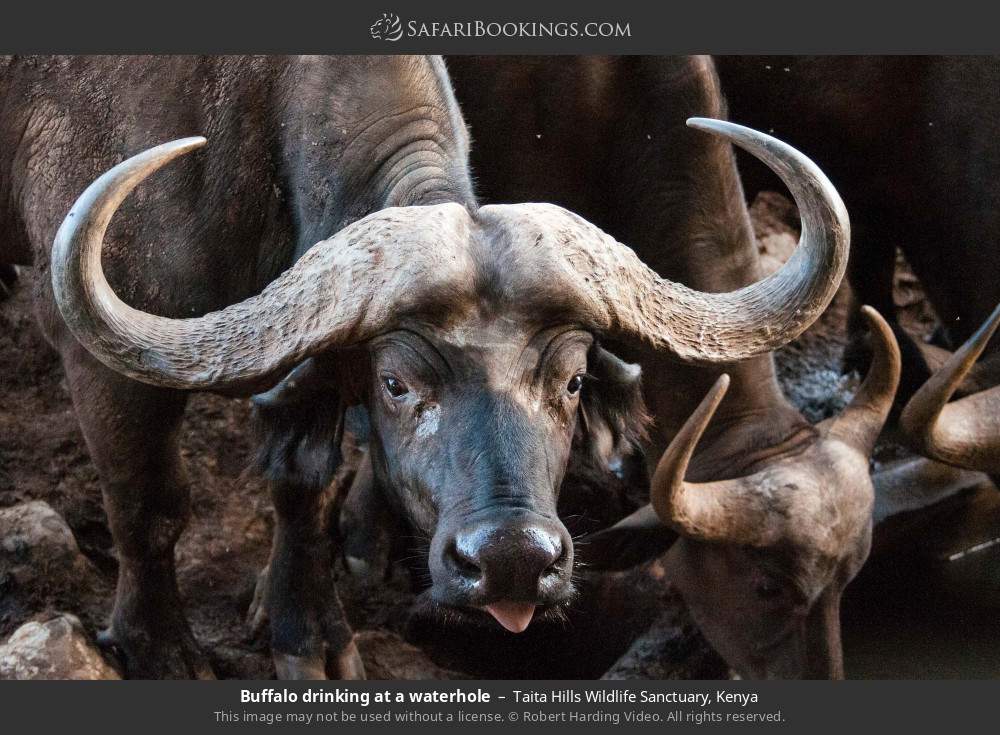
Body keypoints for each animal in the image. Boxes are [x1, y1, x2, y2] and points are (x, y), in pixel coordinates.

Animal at [0, 56, 848, 680]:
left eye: (571, 381)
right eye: (397, 382)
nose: (512, 561)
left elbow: (306, 482)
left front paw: (309, 635)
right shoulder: (103, 362)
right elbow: (150, 504)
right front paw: (161, 651)